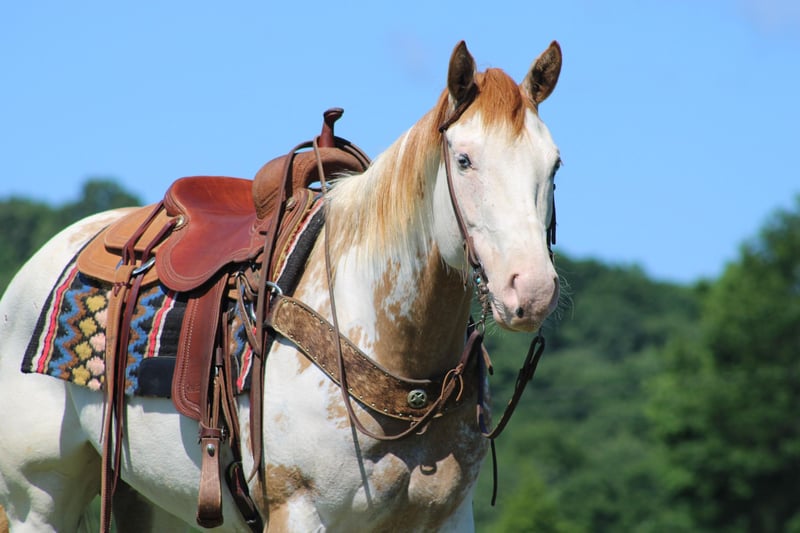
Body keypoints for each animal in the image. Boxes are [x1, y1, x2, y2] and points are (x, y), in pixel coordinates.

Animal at [0, 40, 563, 532]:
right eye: (464, 160)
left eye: (554, 163)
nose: (531, 290)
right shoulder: (297, 509)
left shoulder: (448, 518)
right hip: (39, 500)